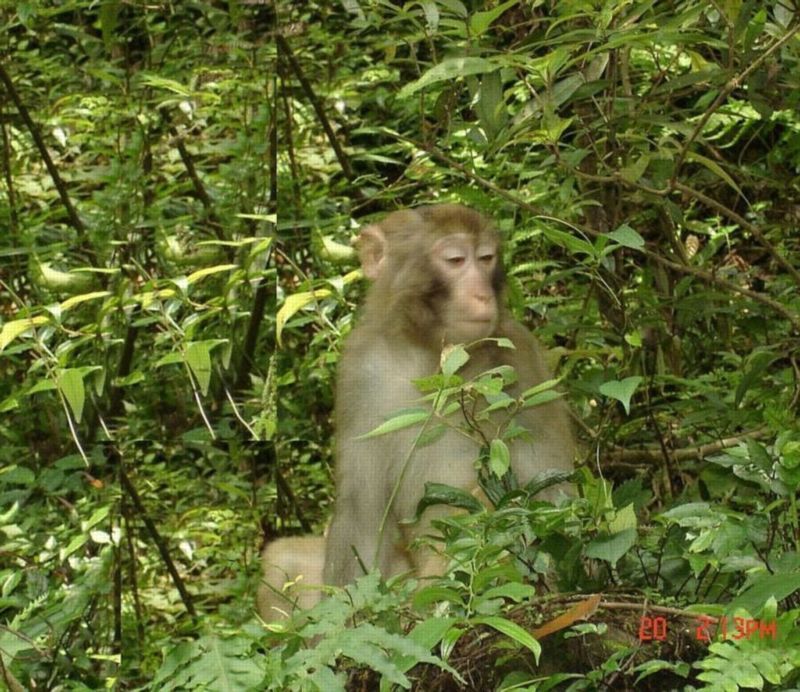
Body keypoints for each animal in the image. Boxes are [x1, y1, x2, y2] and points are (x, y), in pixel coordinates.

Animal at [324, 203, 576, 588]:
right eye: (455, 260)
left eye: (485, 258)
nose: (483, 294)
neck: (427, 358)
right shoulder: (358, 370)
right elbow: (362, 515)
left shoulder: (521, 361)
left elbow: (551, 502)